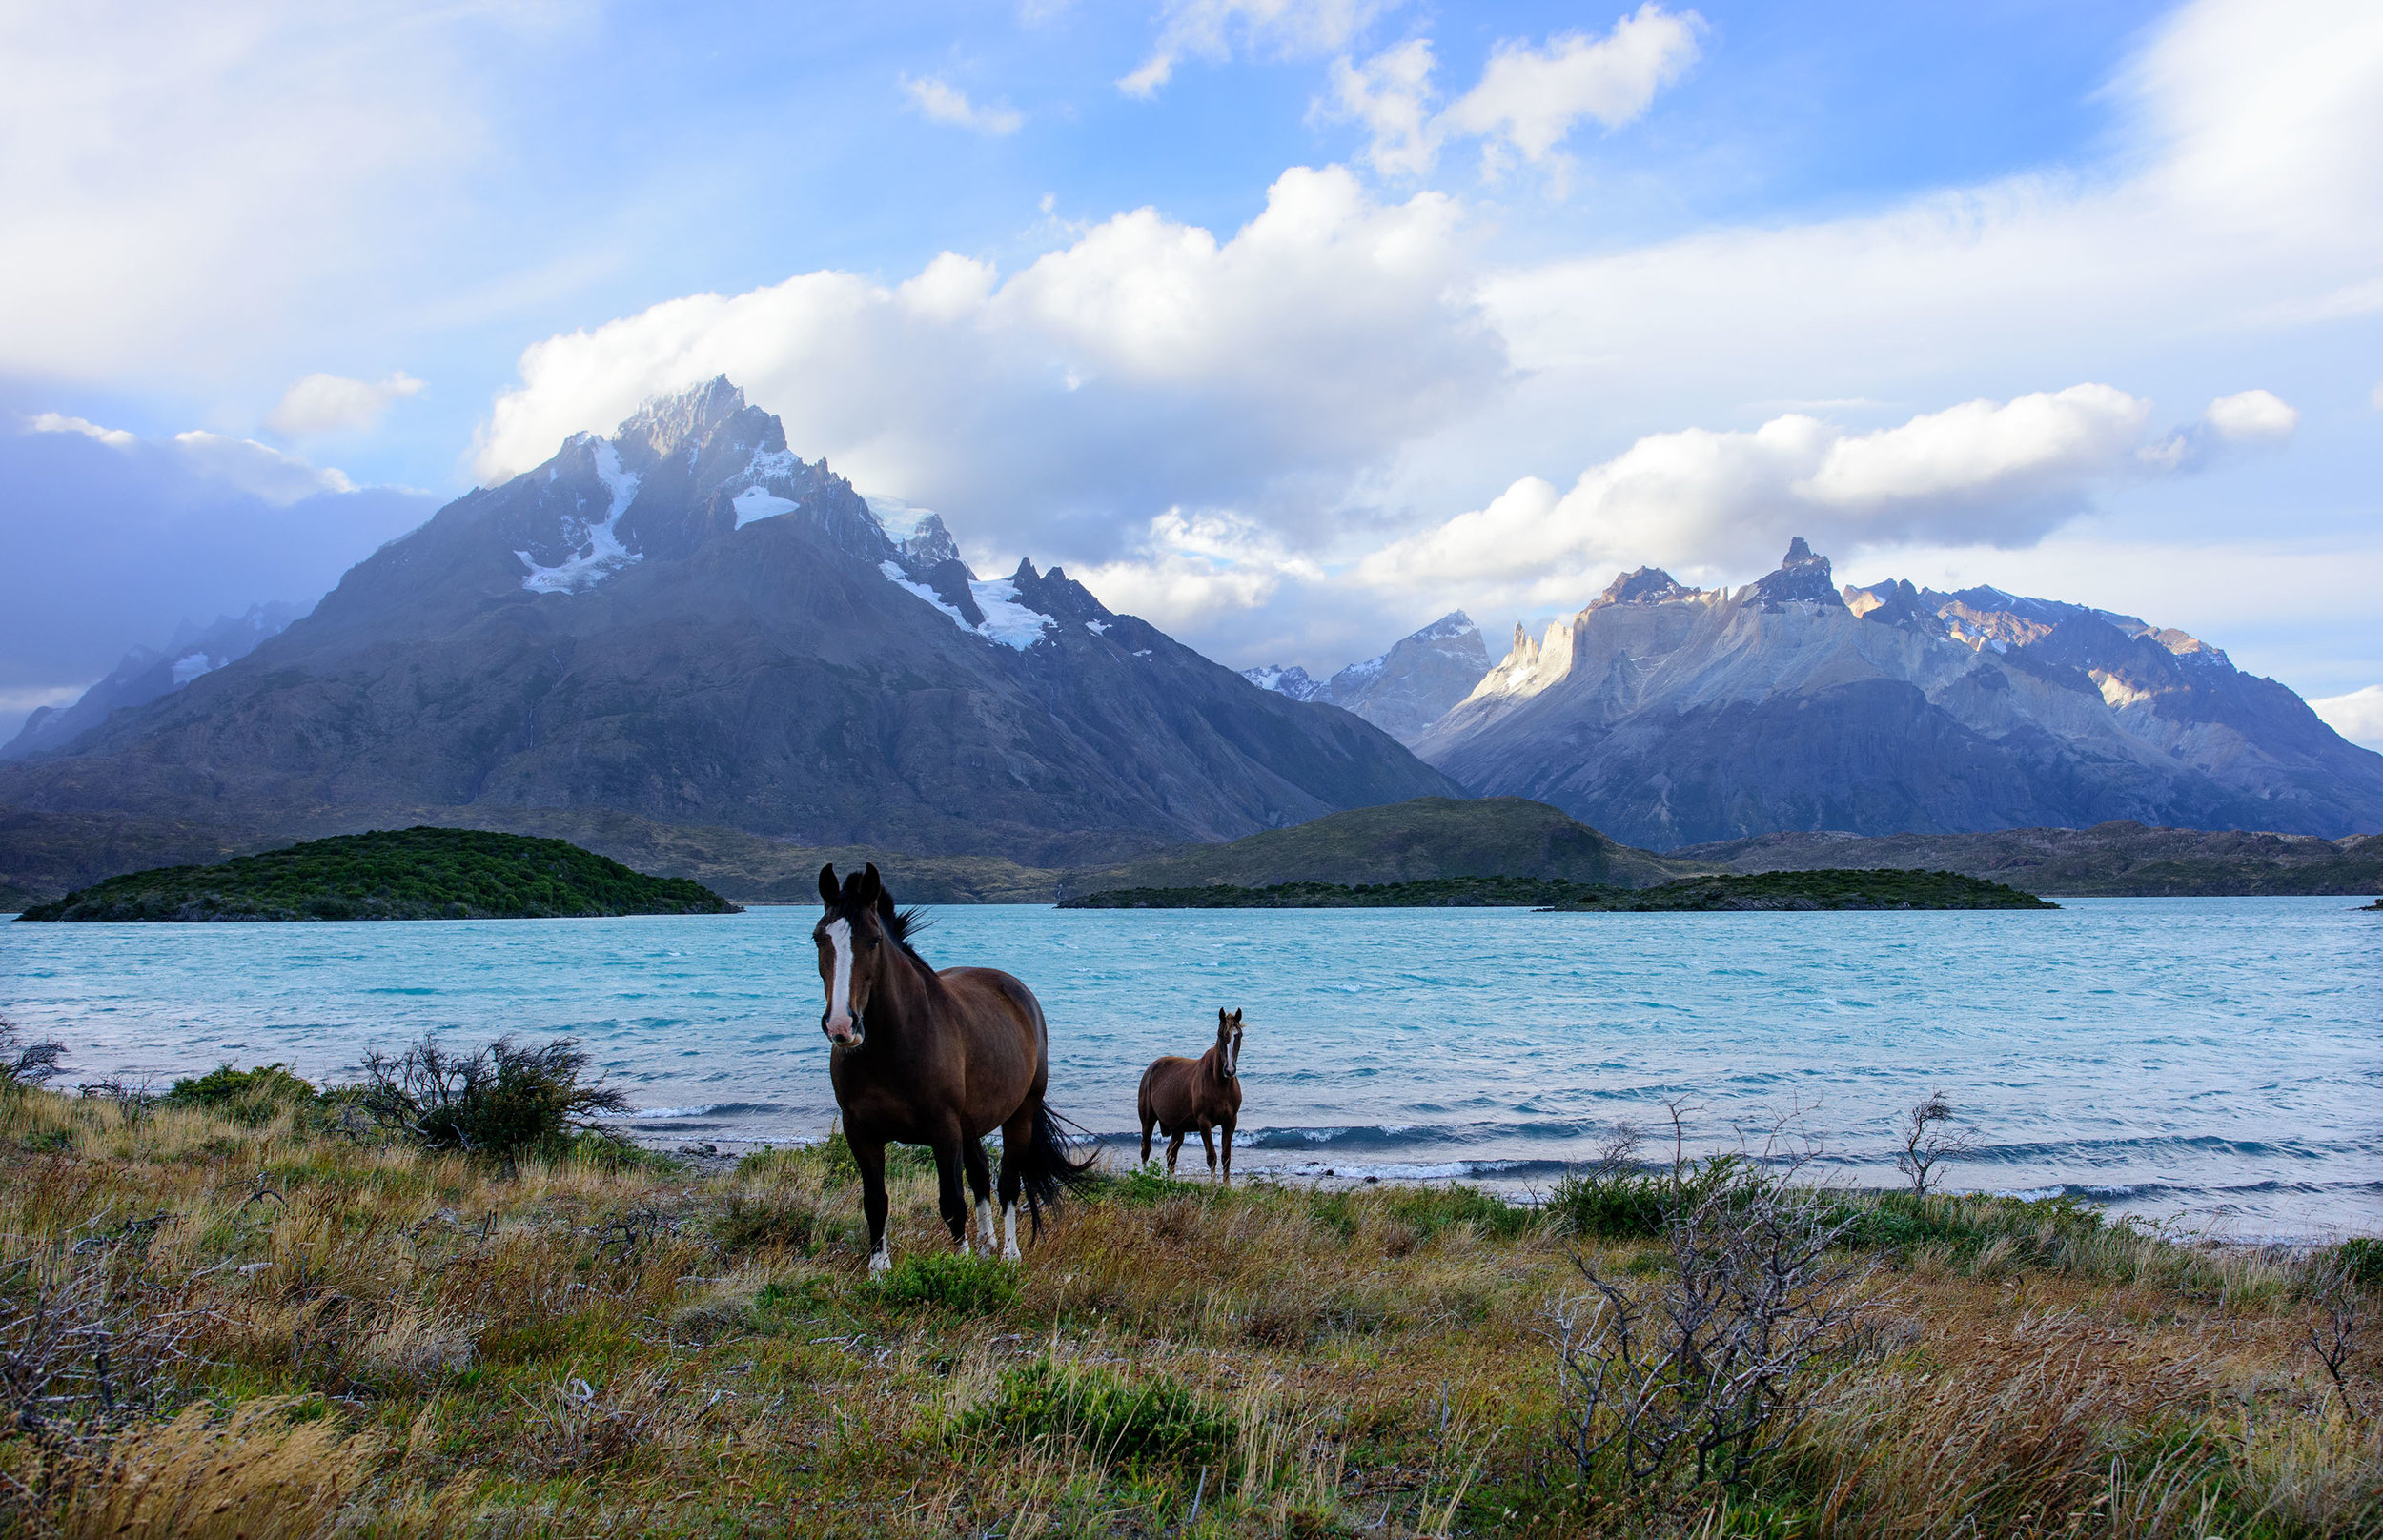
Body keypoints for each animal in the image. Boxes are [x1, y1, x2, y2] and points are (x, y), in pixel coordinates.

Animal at [810, 862, 1091, 1277]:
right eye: (819, 938)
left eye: (874, 940)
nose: (842, 1025)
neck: (894, 1047)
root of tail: (1017, 990)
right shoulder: (859, 1131)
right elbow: (875, 1201)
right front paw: (879, 1270)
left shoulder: (943, 1130)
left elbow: (952, 1203)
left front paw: (960, 1266)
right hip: (970, 1124)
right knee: (980, 1174)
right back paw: (988, 1245)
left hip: (1020, 1113)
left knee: (1008, 1183)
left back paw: (1009, 1254)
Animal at [1134, 1005, 1249, 1186]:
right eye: (1220, 1034)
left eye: (1239, 1035)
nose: (1229, 1070)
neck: (1219, 1084)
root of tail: (1151, 1069)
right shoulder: (1204, 1122)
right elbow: (1211, 1157)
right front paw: (1213, 1186)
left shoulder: (1230, 1121)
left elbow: (1226, 1157)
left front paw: (1227, 1187)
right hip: (1148, 1119)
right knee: (1146, 1149)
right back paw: (1144, 1178)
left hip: (1178, 1128)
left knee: (1171, 1154)